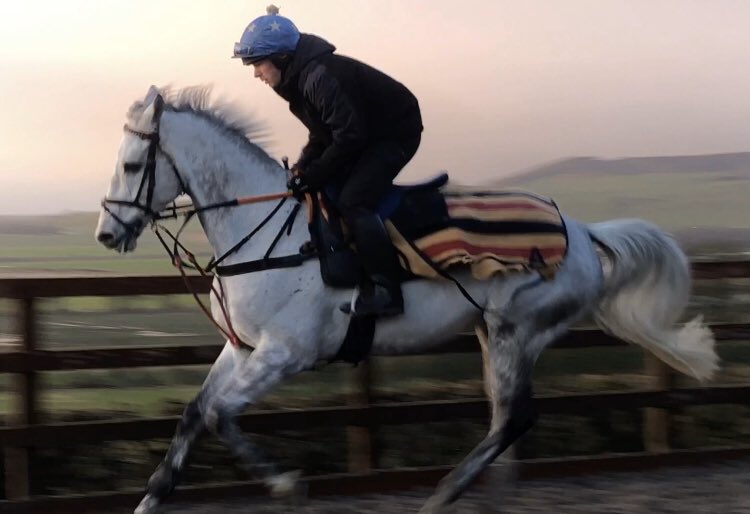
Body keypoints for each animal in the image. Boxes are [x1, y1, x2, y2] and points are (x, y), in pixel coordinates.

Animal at [95, 85, 718, 514]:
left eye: (131, 164)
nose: (106, 234)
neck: (265, 231)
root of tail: (584, 232)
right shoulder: (244, 348)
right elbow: (195, 413)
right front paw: (151, 497)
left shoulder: (285, 353)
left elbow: (220, 415)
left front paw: (287, 484)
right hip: (493, 333)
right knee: (505, 418)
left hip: (517, 329)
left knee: (512, 418)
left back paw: (442, 496)